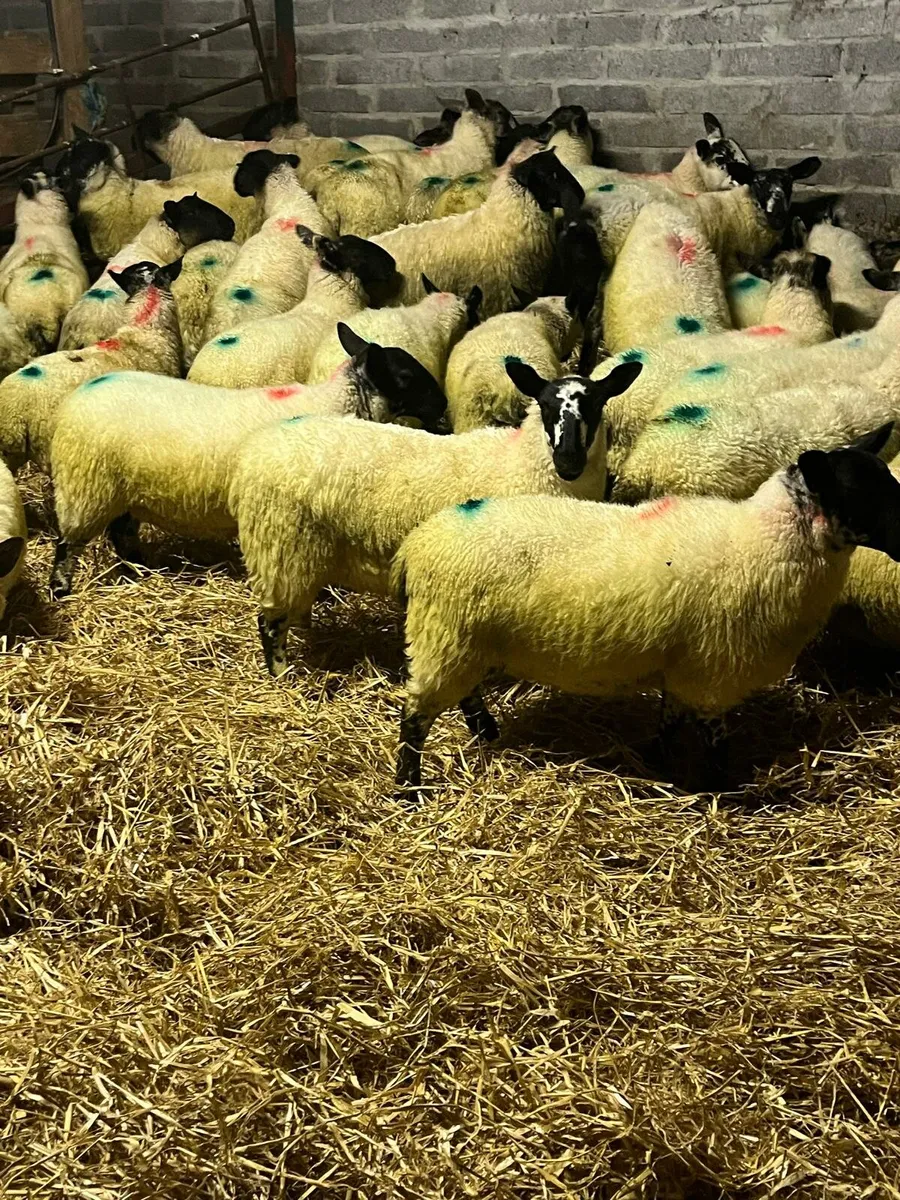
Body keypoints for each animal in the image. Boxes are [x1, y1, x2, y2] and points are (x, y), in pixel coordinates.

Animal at [48, 327, 448, 599]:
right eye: (405, 376)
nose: (443, 405)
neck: (336, 403)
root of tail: (74, 400)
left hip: (120, 490)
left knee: (120, 532)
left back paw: (139, 570)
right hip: (85, 488)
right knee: (67, 544)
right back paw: (61, 590)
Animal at [230, 359, 641, 676]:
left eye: (597, 404)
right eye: (543, 405)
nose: (568, 461)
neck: (522, 462)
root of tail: (254, 450)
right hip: (280, 547)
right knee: (269, 622)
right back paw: (282, 675)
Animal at [390, 426, 900, 800]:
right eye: (862, 493)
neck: (764, 542)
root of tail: (419, 542)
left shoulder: (685, 668)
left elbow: (669, 723)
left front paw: (657, 762)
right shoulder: (712, 675)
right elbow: (717, 742)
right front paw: (722, 789)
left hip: (461, 640)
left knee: (464, 693)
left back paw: (486, 731)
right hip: (445, 635)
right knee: (414, 715)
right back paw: (408, 787)